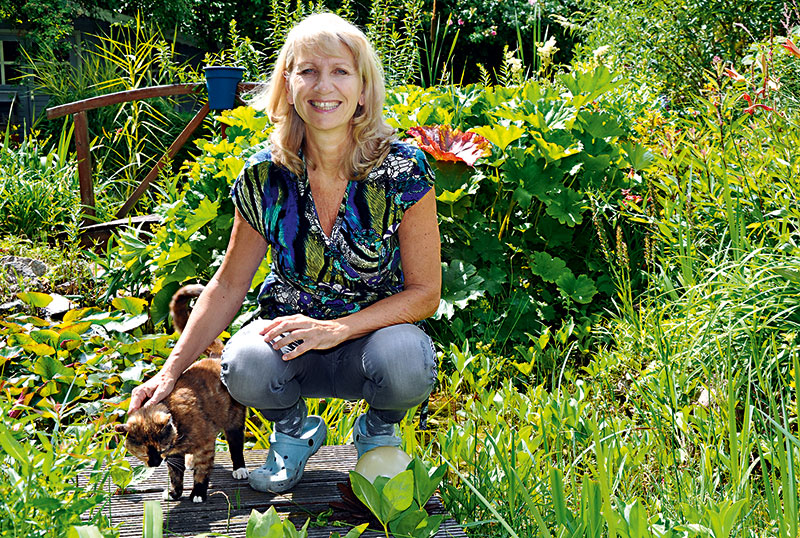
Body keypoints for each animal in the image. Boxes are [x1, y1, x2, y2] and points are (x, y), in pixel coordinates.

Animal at [114, 358, 248, 500]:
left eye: (161, 450)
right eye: (144, 454)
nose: (155, 464)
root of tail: (216, 359)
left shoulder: (205, 446)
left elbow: (202, 470)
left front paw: (198, 492)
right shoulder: (174, 454)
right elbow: (175, 474)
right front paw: (174, 493)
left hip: (234, 421)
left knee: (236, 444)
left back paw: (239, 469)